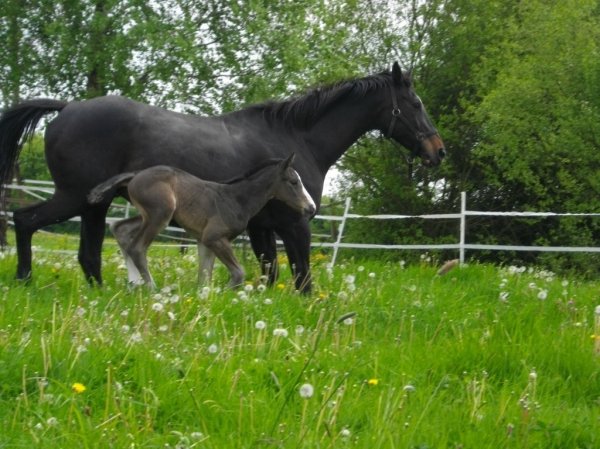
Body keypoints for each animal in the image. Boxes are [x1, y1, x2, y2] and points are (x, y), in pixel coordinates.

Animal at [89, 154, 316, 288]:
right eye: (293, 182)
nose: (311, 208)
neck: (236, 199)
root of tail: (135, 175)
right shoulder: (214, 238)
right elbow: (238, 273)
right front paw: (225, 293)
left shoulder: (204, 241)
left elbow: (204, 277)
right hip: (160, 214)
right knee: (137, 247)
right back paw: (151, 288)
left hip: (149, 215)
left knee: (120, 228)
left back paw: (134, 283)